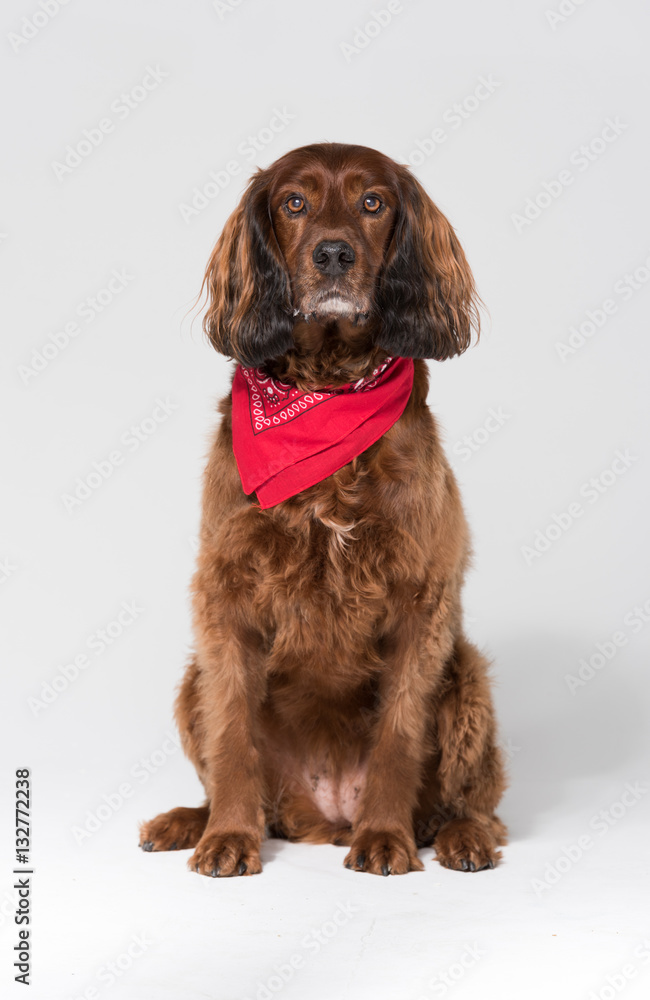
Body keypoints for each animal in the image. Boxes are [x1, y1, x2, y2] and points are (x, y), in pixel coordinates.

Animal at [139, 141, 506, 876]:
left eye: (373, 202)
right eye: (294, 202)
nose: (333, 254)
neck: (328, 392)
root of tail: (325, 812)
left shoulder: (421, 600)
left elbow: (399, 735)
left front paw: (385, 837)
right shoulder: (225, 594)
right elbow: (232, 739)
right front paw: (228, 837)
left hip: (467, 675)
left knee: (475, 800)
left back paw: (459, 835)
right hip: (193, 680)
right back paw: (194, 820)